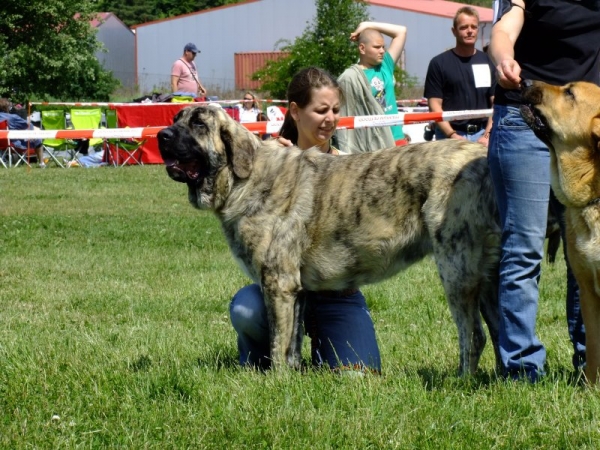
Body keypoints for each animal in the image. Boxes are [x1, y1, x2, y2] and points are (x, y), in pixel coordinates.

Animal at [158, 105, 502, 372]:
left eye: (199, 124)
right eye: (176, 118)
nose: (162, 135)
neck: (244, 179)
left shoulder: (277, 283)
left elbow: (278, 343)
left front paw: (275, 382)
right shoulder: (294, 290)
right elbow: (292, 345)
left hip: (457, 268)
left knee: (474, 335)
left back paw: (461, 382)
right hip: (487, 275)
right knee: (499, 329)